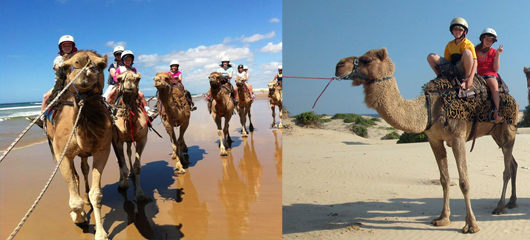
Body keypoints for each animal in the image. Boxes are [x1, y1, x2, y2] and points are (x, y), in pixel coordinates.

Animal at [44, 50, 111, 238]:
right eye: (66, 67)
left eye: (101, 65)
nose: (84, 66)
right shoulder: (62, 153)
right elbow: (74, 199)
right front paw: (78, 217)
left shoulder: (103, 150)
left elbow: (97, 194)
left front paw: (101, 234)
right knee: (75, 176)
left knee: (84, 169)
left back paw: (86, 197)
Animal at [111, 70, 150, 202]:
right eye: (119, 79)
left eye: (137, 79)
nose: (129, 85)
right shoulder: (117, 141)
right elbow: (122, 165)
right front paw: (124, 184)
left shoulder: (142, 139)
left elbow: (137, 166)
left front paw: (140, 195)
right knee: (119, 159)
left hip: (129, 140)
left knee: (128, 152)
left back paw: (131, 173)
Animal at [334, 47, 516, 233]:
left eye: (367, 60)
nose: (339, 65)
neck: (429, 108)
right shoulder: (434, 140)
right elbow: (444, 180)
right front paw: (442, 218)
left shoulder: (457, 137)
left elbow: (464, 181)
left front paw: (471, 225)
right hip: (495, 133)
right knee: (513, 164)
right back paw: (511, 202)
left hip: (508, 128)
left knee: (506, 169)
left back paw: (499, 207)